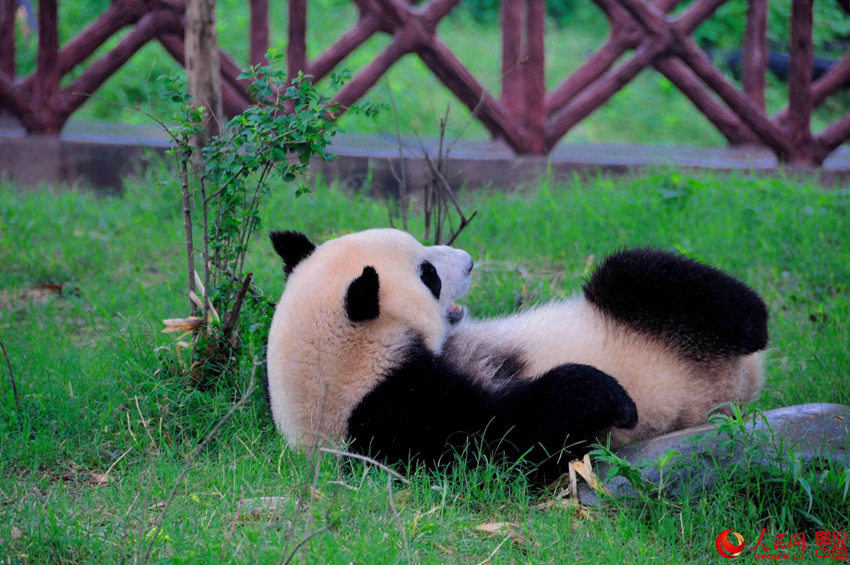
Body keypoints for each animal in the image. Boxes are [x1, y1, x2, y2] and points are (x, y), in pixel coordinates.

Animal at [264, 227, 760, 478]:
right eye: (428, 275)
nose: (468, 261)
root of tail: (741, 383)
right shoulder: (393, 420)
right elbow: (506, 442)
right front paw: (609, 397)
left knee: (640, 272)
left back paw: (753, 321)